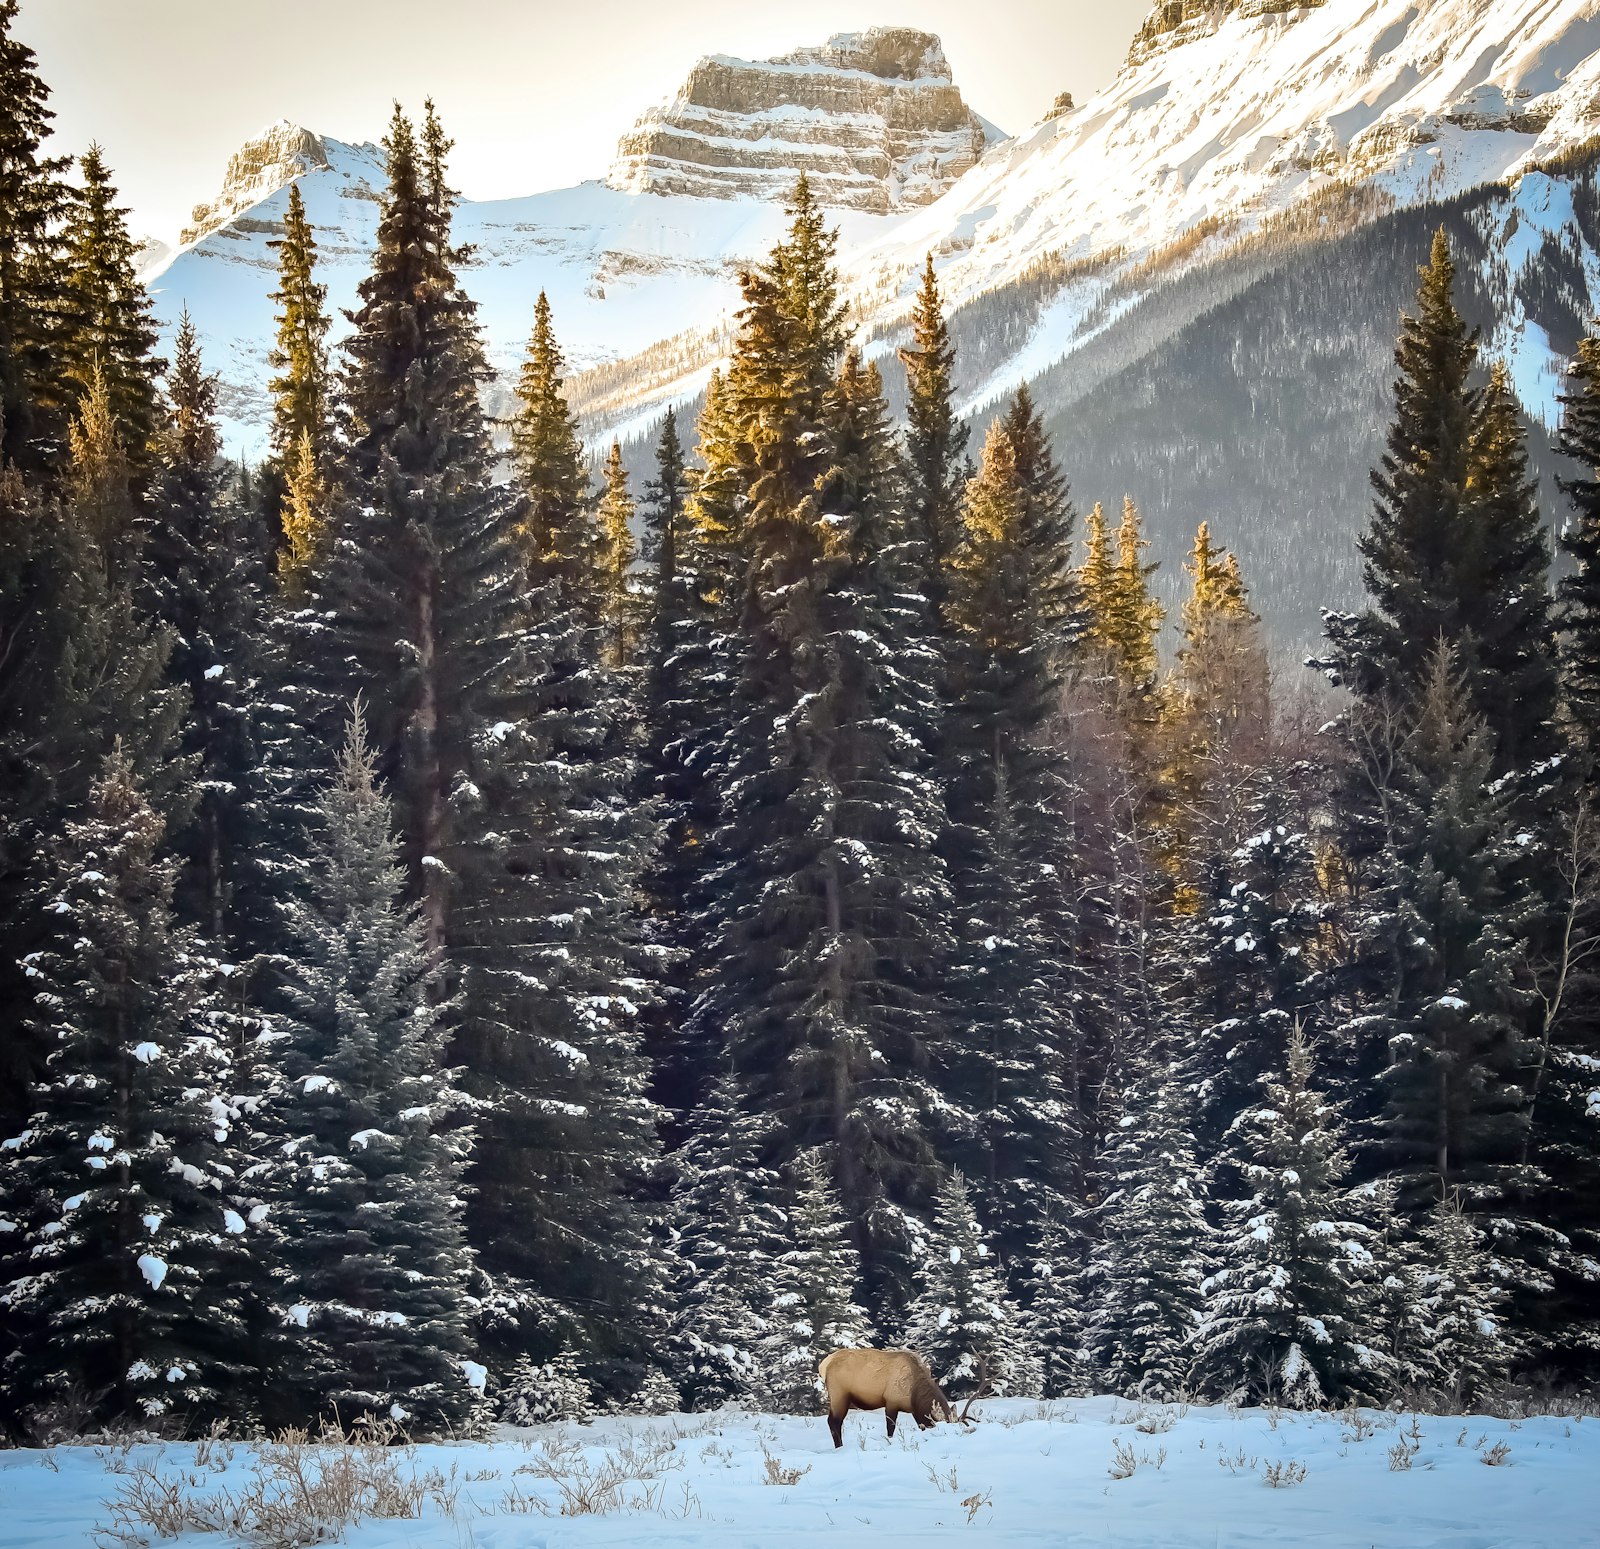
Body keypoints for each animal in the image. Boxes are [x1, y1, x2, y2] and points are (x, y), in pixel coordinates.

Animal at [819, 1350, 953, 1446]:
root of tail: (823, 1365)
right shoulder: (891, 1402)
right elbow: (890, 1429)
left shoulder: (914, 1410)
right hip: (839, 1395)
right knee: (833, 1422)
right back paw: (839, 1446)